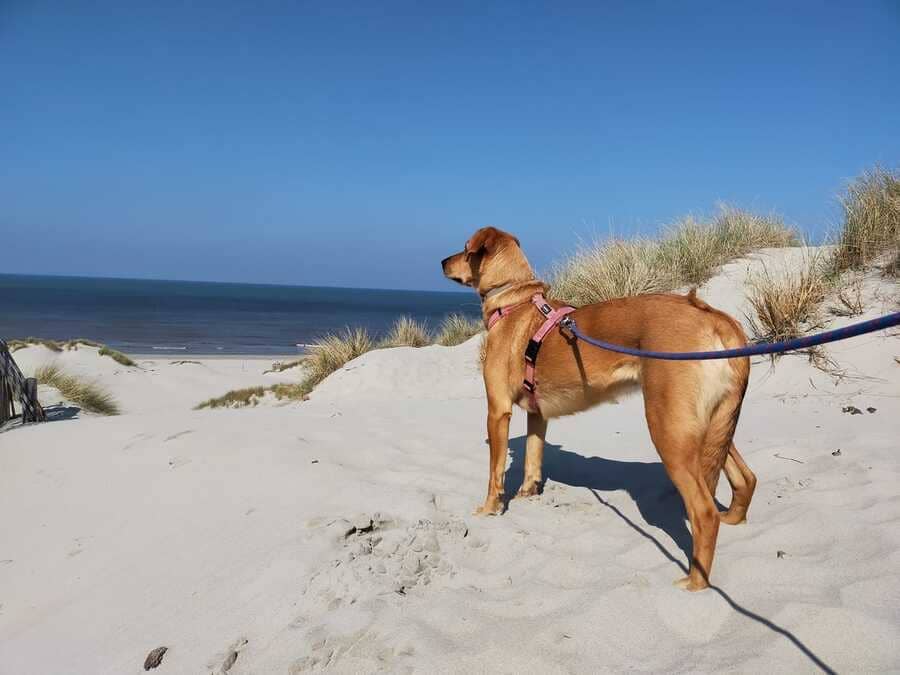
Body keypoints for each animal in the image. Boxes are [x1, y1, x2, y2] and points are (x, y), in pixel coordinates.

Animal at [442, 227, 760, 592]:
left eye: (465, 250)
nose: (442, 262)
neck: (515, 300)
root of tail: (713, 315)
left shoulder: (497, 411)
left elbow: (495, 472)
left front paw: (490, 508)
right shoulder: (537, 414)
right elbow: (533, 457)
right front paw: (527, 493)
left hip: (670, 429)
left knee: (704, 513)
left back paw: (696, 581)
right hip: (710, 426)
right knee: (745, 478)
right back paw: (732, 520)